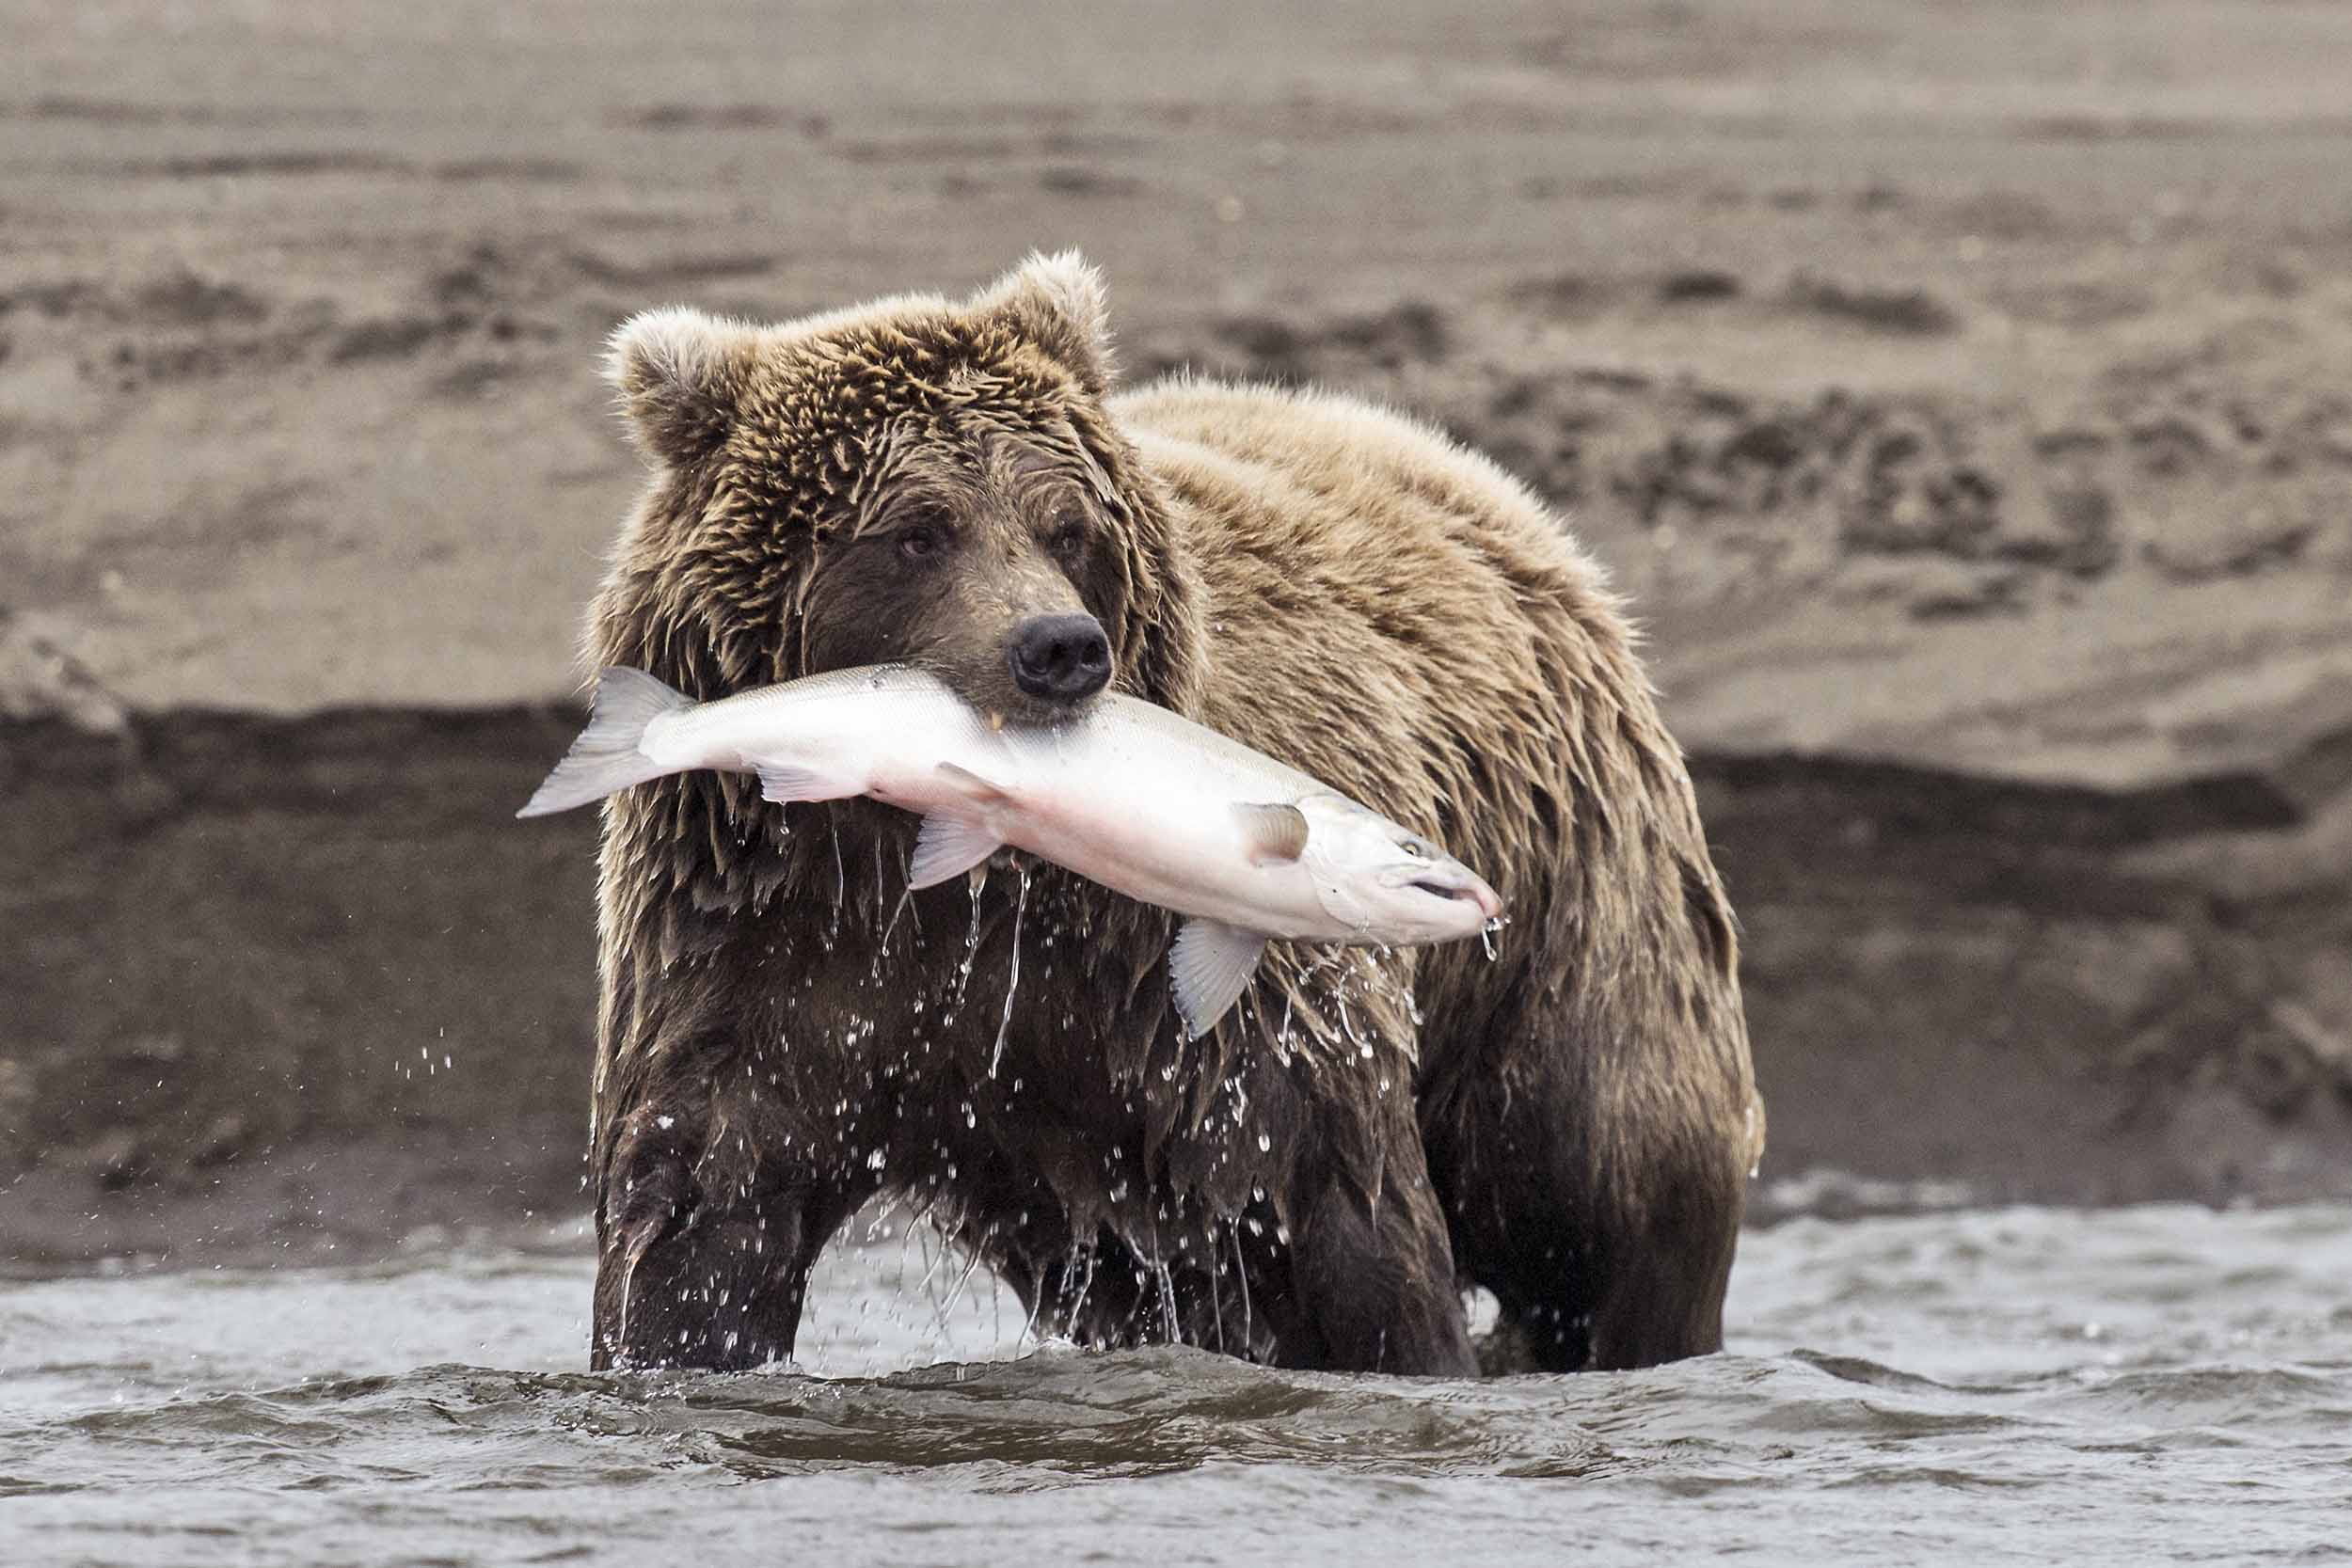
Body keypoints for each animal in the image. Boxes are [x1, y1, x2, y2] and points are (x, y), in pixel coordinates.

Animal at [580, 252, 1760, 1376]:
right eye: (917, 530)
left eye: (1065, 525)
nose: (1057, 646)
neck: (943, 860)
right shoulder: (767, 940)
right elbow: (703, 1207)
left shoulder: (1186, 987)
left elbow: (1330, 1209)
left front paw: (1411, 1352)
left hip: (1571, 915)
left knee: (1606, 1181)